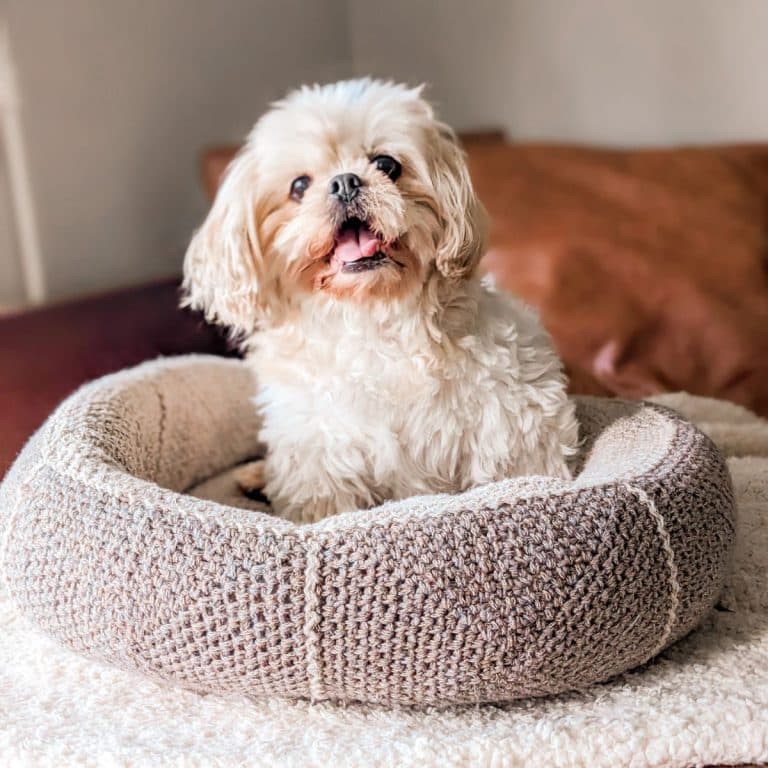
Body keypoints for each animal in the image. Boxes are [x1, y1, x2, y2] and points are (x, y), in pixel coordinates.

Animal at [183, 79, 580, 520]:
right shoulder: (319, 454)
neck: (370, 316)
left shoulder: (515, 415)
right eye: (299, 186)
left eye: (387, 165)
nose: (345, 182)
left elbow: (515, 468)